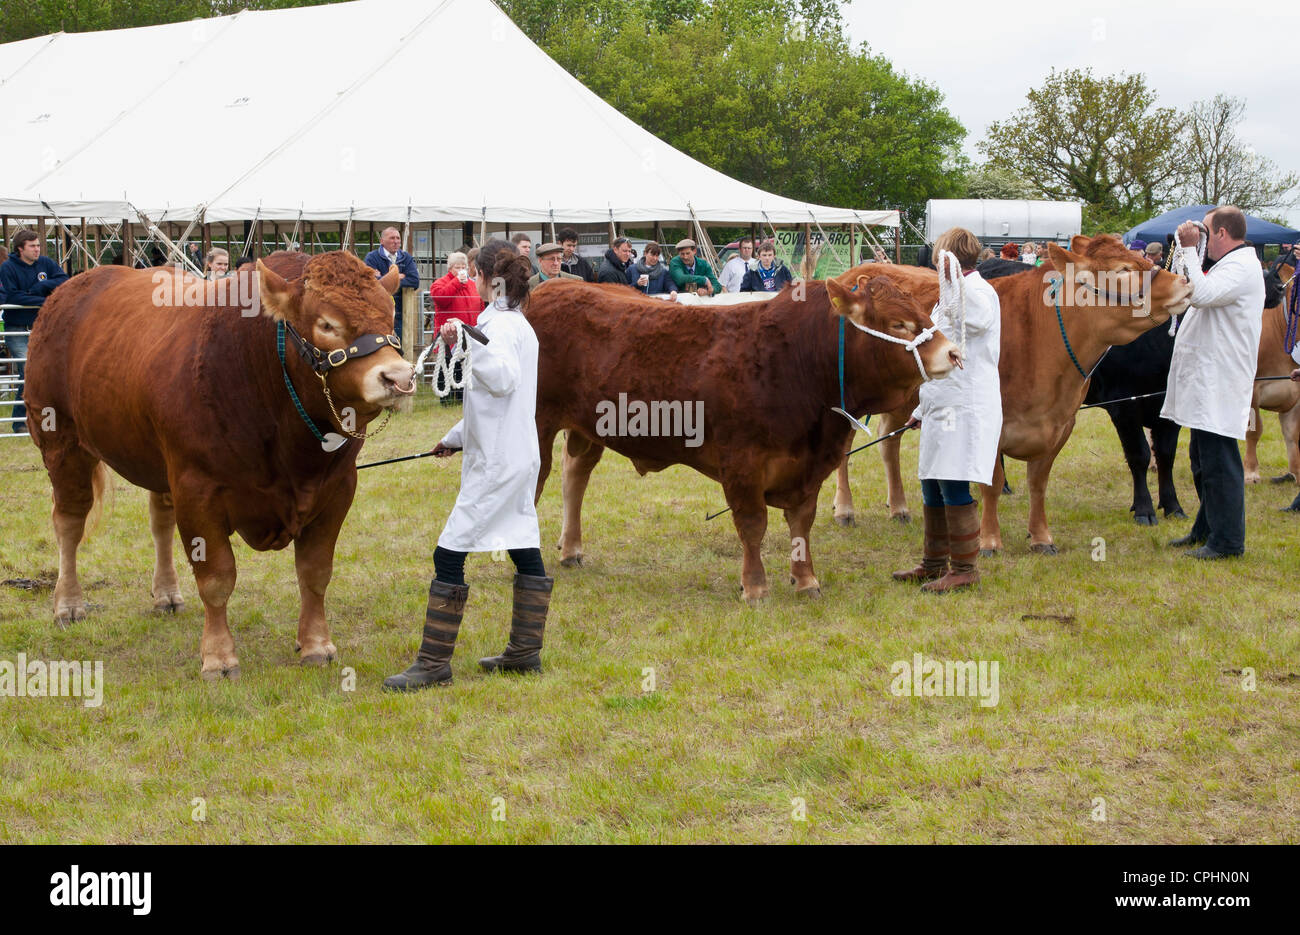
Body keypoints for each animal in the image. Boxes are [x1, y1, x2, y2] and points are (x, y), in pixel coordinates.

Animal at [25, 252, 413, 676]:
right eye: (326, 323)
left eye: (390, 314)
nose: (399, 376)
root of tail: (70, 289)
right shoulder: (197, 489)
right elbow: (216, 577)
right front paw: (218, 655)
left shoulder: (338, 487)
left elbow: (315, 572)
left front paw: (315, 643)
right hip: (60, 442)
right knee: (69, 522)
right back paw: (68, 604)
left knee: (159, 520)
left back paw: (166, 594)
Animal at [527, 275, 967, 605]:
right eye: (897, 323)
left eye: (923, 312)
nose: (954, 353)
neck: (797, 359)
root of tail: (551, 287)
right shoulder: (742, 463)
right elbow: (753, 524)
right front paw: (755, 586)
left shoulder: (808, 466)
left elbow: (801, 521)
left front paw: (806, 579)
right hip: (538, 425)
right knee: (536, 484)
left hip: (586, 430)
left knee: (574, 477)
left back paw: (571, 549)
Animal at [832, 237, 1190, 551]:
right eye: (1122, 269)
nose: (1183, 283)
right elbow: (991, 482)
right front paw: (990, 541)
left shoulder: (1063, 423)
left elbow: (1038, 483)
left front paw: (1041, 537)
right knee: (845, 448)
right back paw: (845, 509)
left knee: (888, 442)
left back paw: (899, 507)